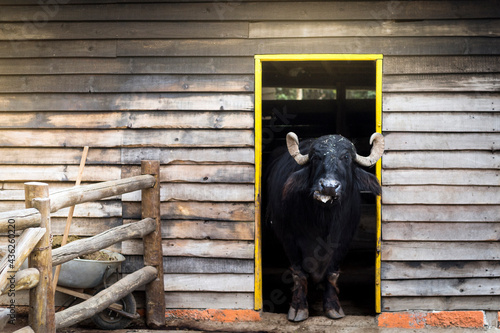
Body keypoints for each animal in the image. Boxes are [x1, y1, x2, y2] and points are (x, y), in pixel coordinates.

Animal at [264, 131, 384, 320]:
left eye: (346, 157)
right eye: (316, 158)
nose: (329, 187)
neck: (323, 219)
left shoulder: (343, 240)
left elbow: (331, 273)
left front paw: (333, 307)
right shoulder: (289, 239)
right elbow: (300, 274)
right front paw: (298, 308)